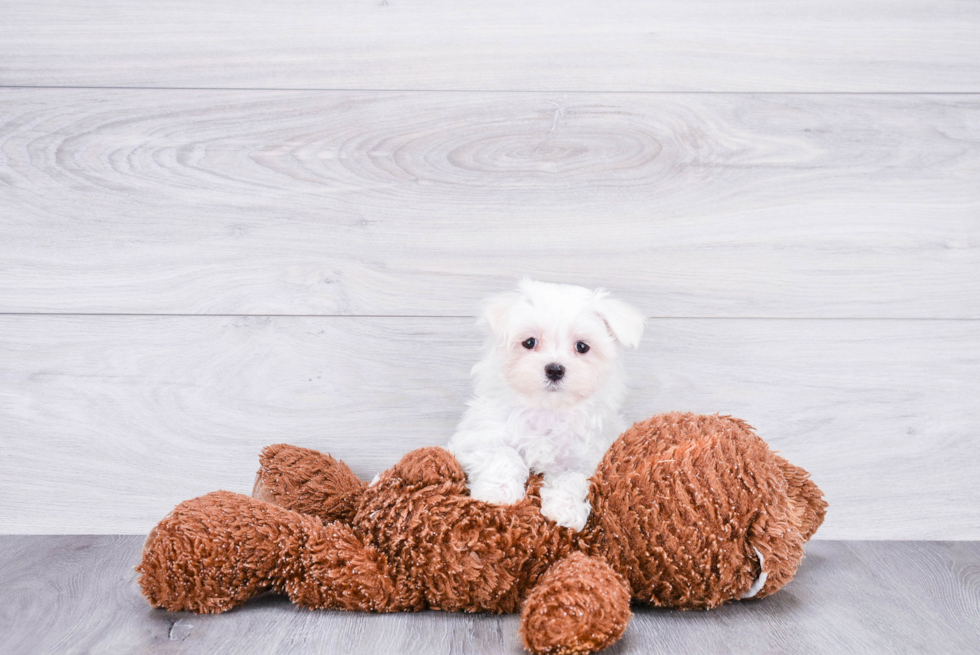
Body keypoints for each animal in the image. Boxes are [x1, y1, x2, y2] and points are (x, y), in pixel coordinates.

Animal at [448, 280, 648, 532]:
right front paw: (498, 494)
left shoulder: (588, 458)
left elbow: (572, 478)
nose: (554, 369)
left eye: (582, 346)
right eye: (529, 342)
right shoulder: (476, 438)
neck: (547, 409)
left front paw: (566, 510)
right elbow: (503, 453)